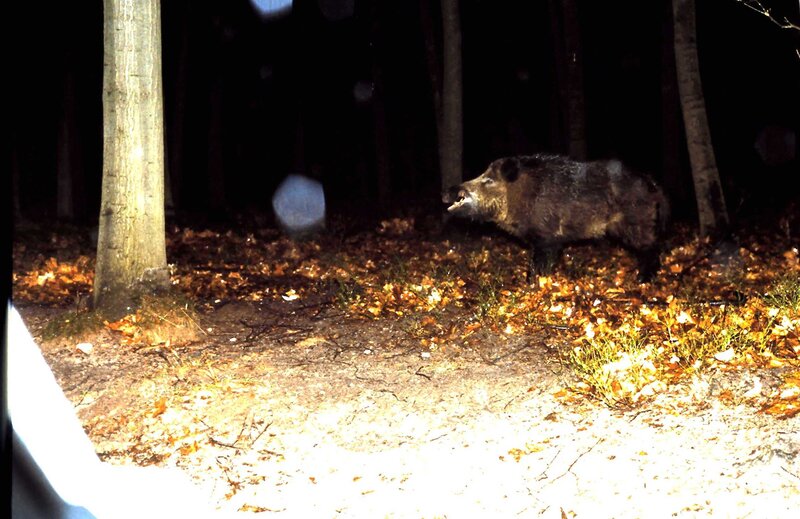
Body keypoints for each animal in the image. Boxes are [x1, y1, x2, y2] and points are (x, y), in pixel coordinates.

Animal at [443, 154, 669, 282]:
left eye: (488, 179)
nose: (447, 190)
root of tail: (654, 185)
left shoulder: (546, 237)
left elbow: (539, 263)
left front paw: (531, 283)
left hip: (637, 222)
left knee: (651, 247)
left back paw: (642, 279)